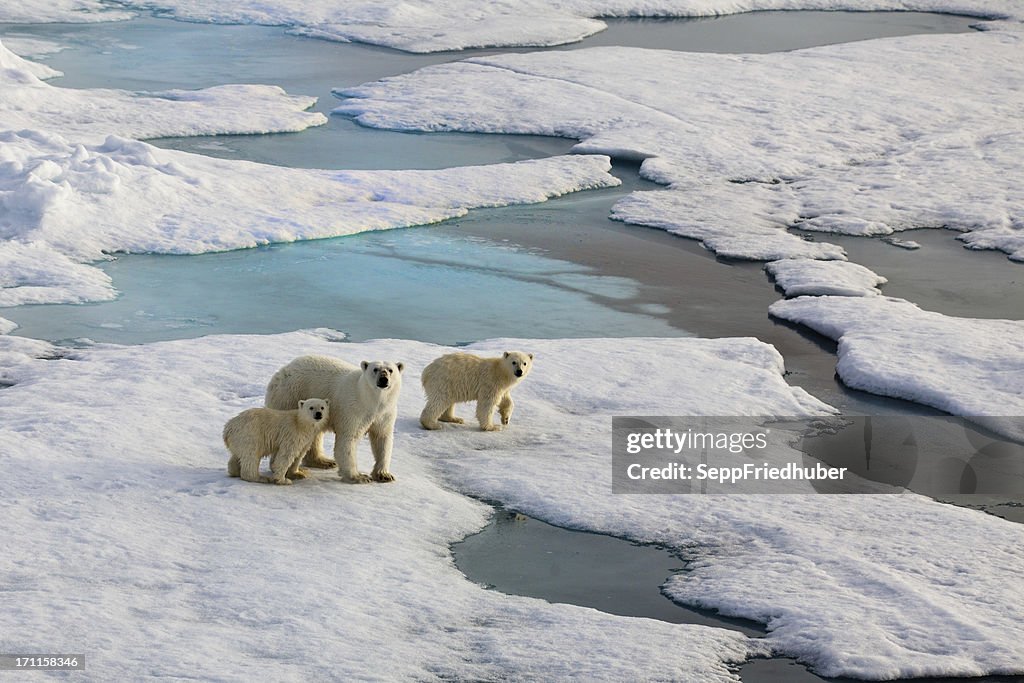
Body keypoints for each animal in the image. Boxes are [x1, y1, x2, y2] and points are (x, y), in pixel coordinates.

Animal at [264, 356, 403, 483]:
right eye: (375, 369)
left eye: (390, 370)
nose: (383, 379)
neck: (371, 401)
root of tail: (280, 373)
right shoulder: (353, 410)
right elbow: (348, 439)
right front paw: (359, 477)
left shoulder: (385, 414)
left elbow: (382, 439)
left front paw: (384, 475)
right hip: (290, 396)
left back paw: (324, 461)